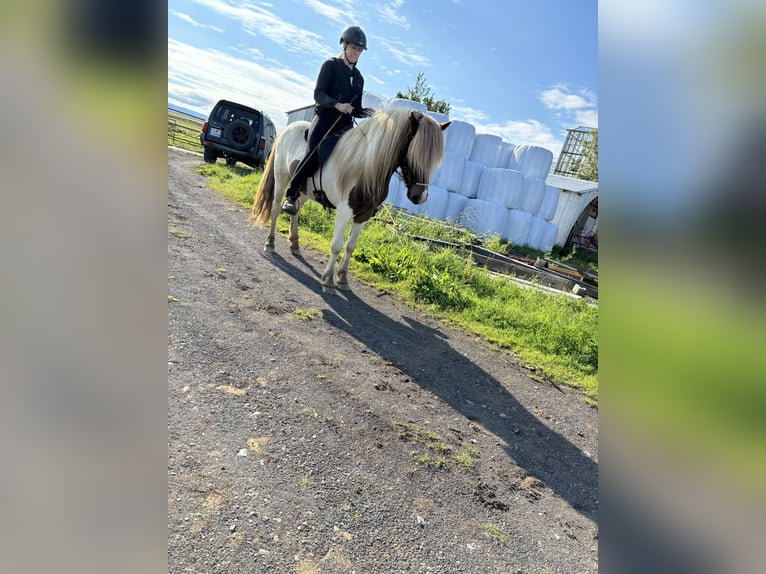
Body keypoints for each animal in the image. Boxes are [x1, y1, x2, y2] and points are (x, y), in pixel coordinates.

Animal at [249, 108, 450, 292]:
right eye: (415, 153)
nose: (420, 197)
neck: (366, 166)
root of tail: (288, 129)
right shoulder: (344, 211)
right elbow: (337, 246)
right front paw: (329, 279)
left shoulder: (364, 214)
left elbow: (350, 246)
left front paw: (343, 277)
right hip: (281, 179)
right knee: (276, 209)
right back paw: (270, 244)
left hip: (304, 191)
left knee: (295, 211)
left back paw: (295, 244)